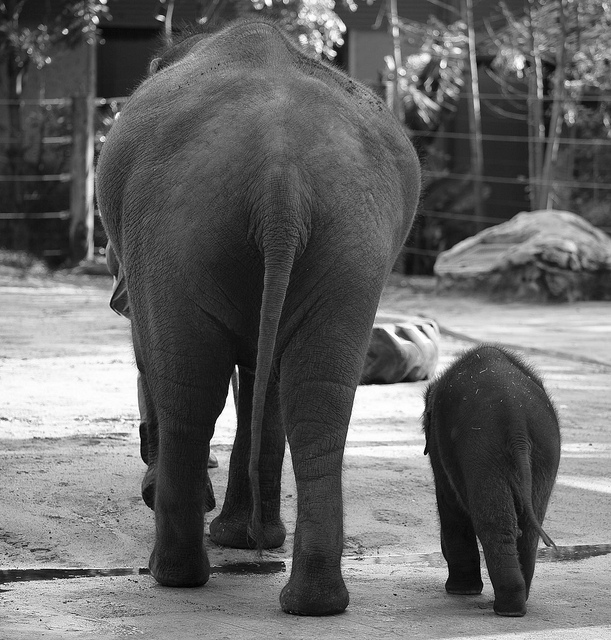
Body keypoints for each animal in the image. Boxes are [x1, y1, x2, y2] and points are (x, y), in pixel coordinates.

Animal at [95, 18, 420, 616]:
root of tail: (280, 177)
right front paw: (246, 537)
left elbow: (154, 355)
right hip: (353, 238)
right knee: (318, 395)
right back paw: (312, 599)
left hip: (176, 228)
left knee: (189, 391)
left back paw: (173, 573)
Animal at [422, 344, 561, 617]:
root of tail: (516, 418)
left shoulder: (439, 451)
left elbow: (450, 506)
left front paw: (461, 592)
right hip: (542, 450)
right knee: (528, 527)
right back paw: (518, 604)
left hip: (481, 449)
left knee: (492, 522)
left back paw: (506, 609)